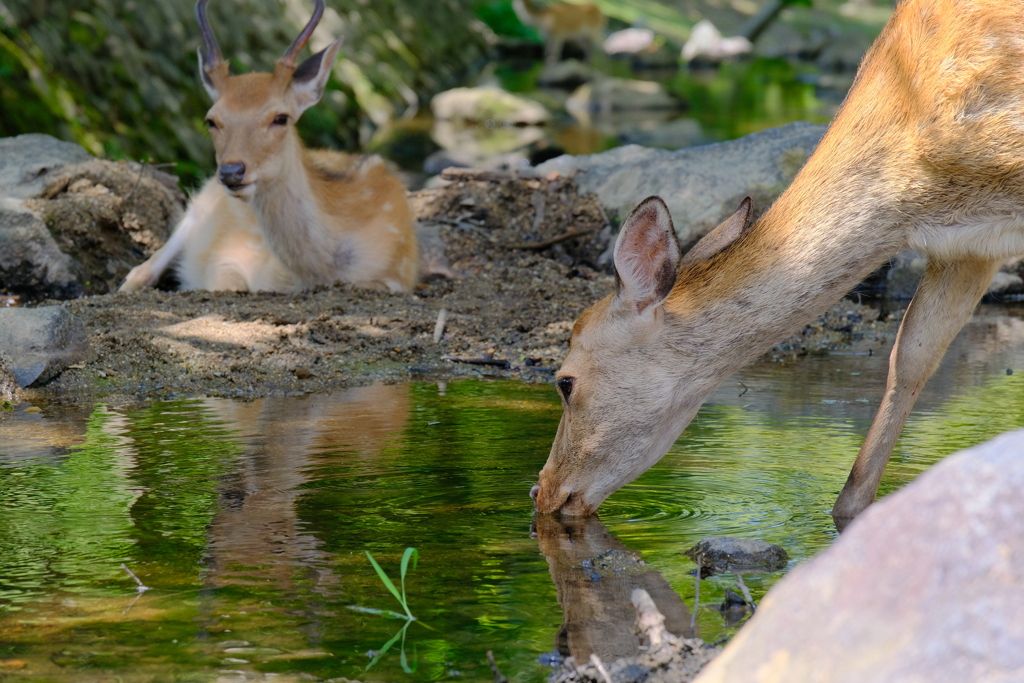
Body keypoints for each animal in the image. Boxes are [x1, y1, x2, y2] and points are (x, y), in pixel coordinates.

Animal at [121, 0, 417, 294]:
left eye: (281, 117)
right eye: (210, 120)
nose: (231, 172)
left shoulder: (400, 277)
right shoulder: (227, 254)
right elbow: (229, 282)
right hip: (196, 209)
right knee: (139, 272)